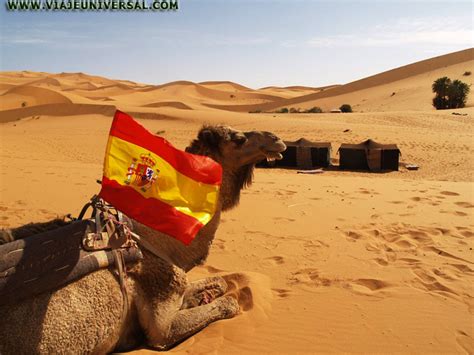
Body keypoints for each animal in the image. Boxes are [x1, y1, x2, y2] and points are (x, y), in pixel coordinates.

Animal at [0, 124, 286, 354]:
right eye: (238, 138)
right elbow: (229, 303)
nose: (276, 139)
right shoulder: (162, 315)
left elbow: (219, 283)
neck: (156, 241)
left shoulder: (175, 284)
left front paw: (206, 293)